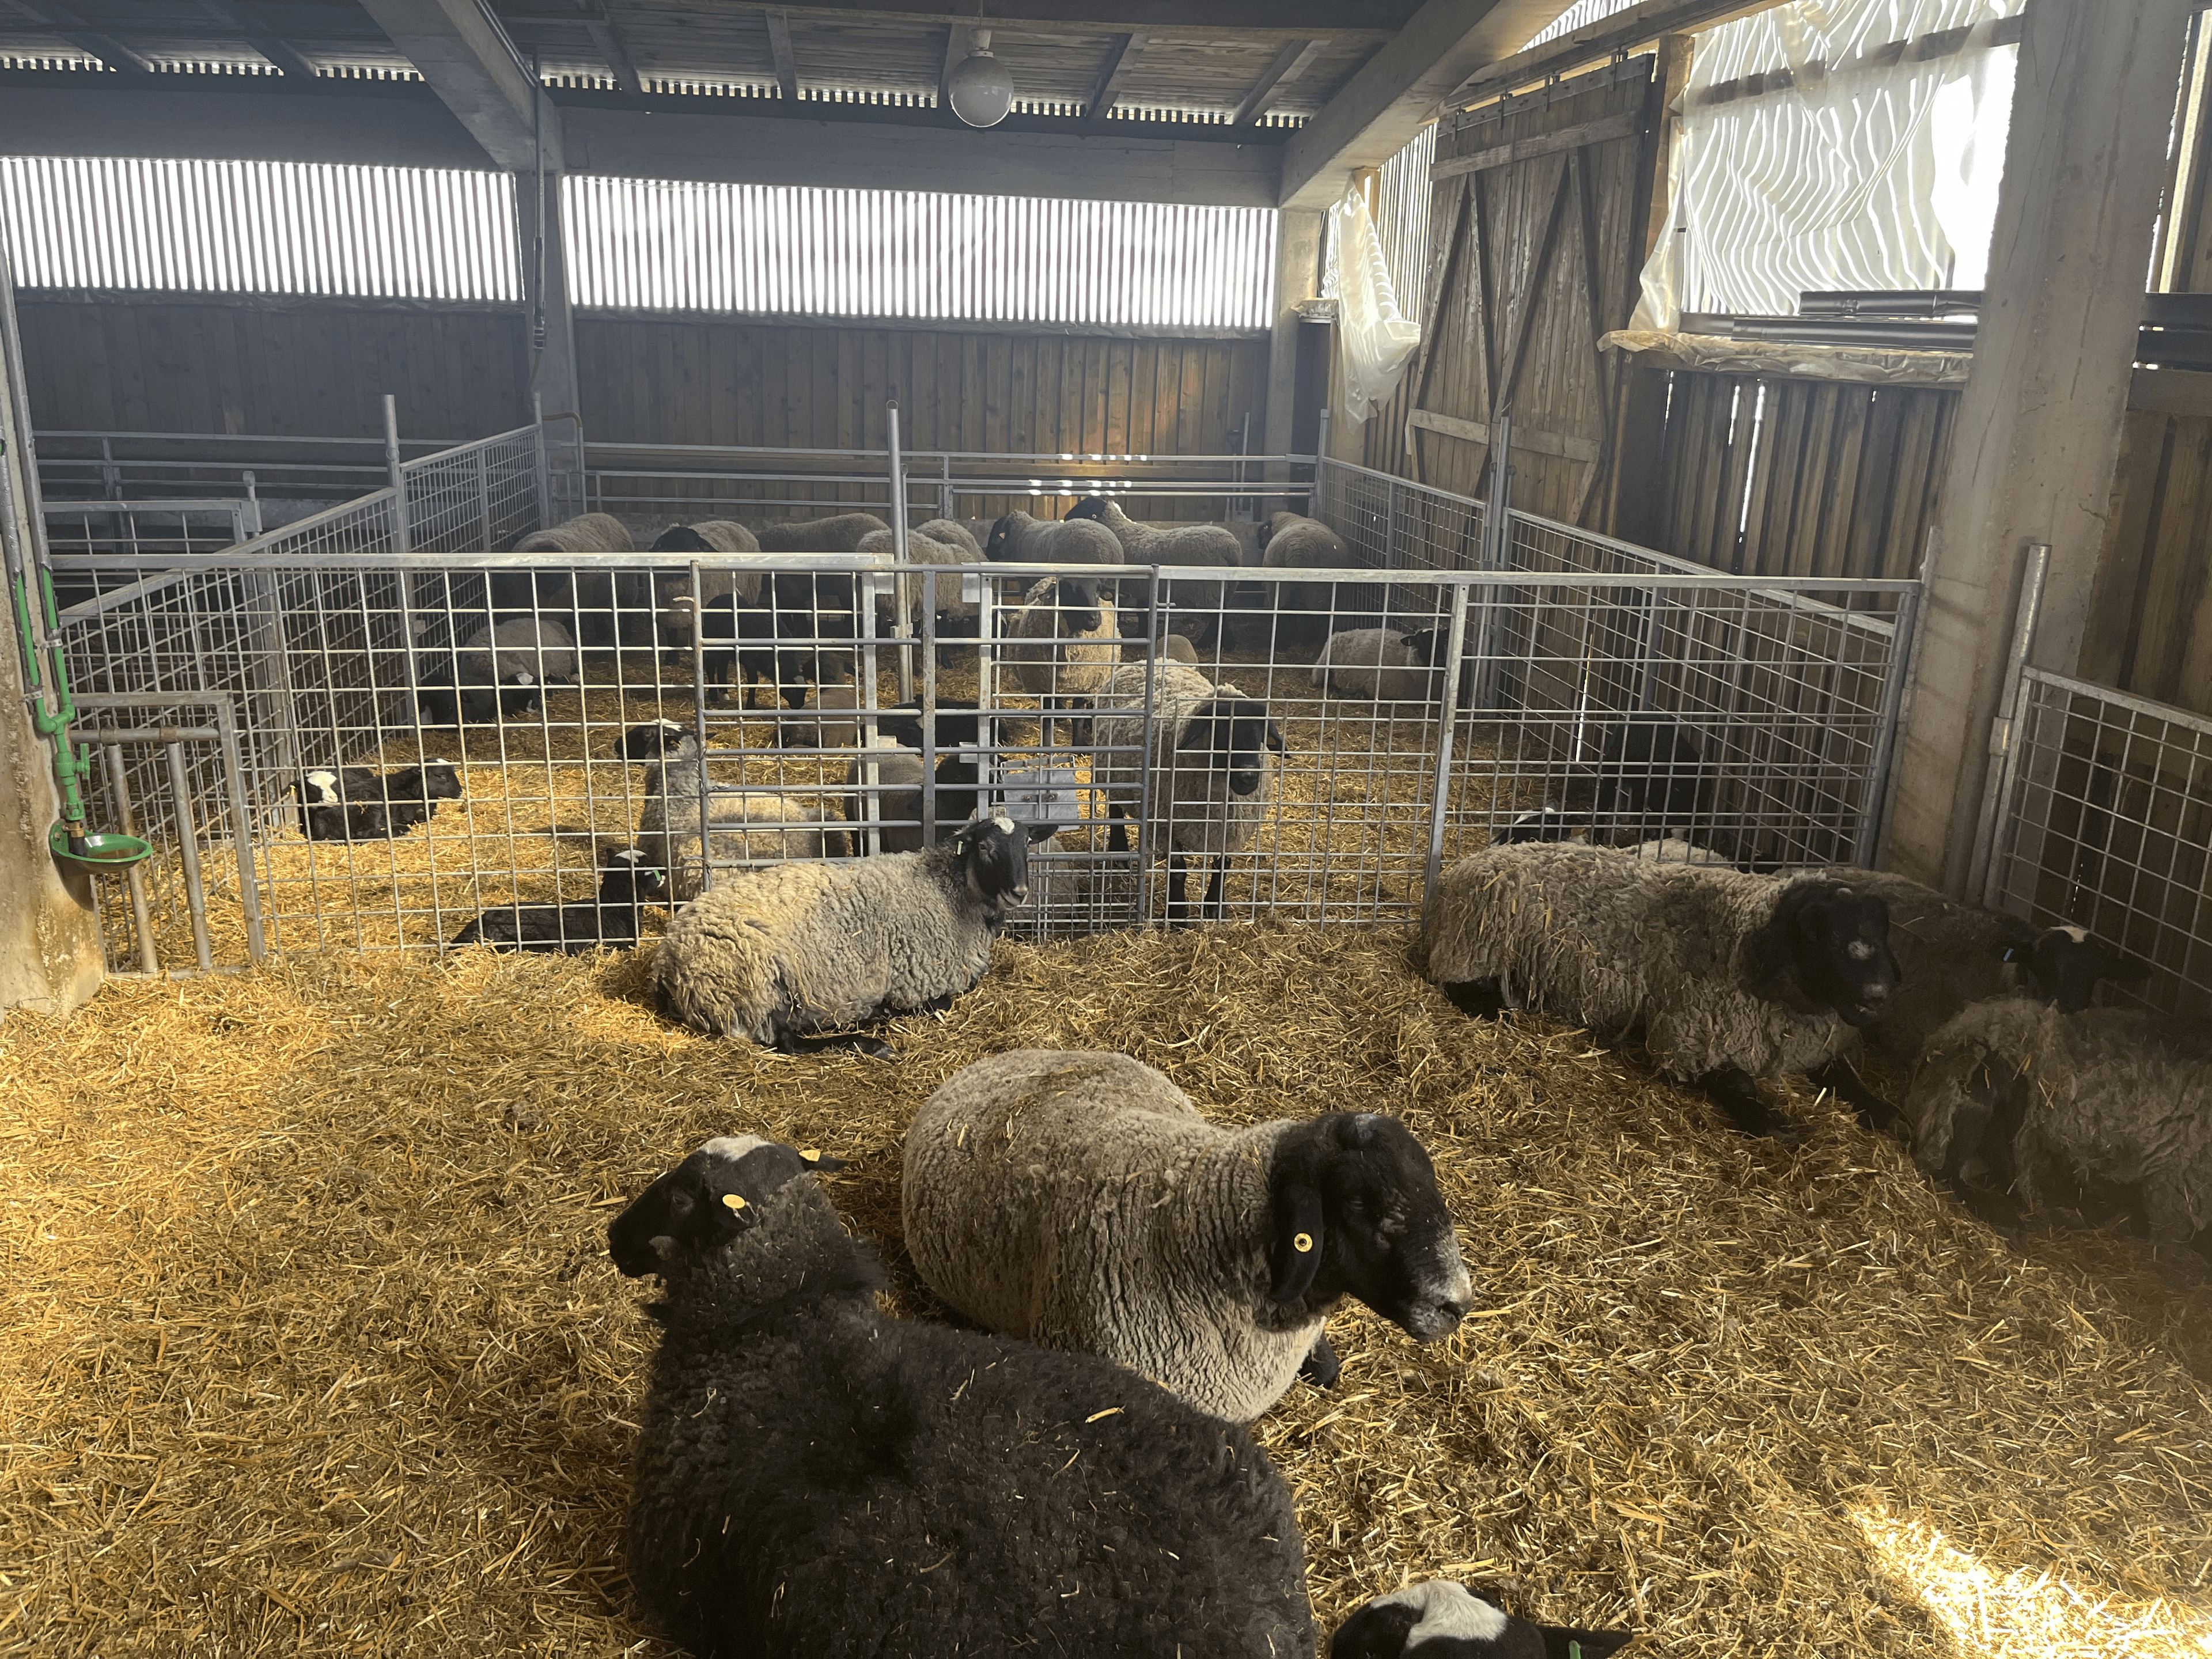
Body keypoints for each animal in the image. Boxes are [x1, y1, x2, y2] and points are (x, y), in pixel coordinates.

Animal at [649, 815, 1053, 1055]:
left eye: (1027, 844)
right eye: (984, 847)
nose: (1019, 892)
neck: (948, 891)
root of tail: (668, 957)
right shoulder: (919, 981)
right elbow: (942, 1003)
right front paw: (886, 1012)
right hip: (759, 985)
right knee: (787, 1041)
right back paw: (869, 1036)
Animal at [1090, 659, 1283, 926]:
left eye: (1260, 733)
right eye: (1220, 729)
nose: (1248, 776)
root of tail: (1150, 661)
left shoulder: (1229, 829)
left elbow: (1223, 865)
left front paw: (1216, 908)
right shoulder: (1165, 823)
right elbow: (1179, 872)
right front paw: (1178, 917)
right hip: (1111, 771)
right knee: (1116, 810)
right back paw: (1120, 852)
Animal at [1423, 842, 1900, 1139]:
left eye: (1880, 932)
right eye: (1823, 935)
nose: (1877, 996)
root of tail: (1464, 867)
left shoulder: (1817, 1048)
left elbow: (1848, 1078)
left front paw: (1886, 1113)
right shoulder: (1685, 1038)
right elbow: (1737, 1082)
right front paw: (1768, 1121)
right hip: (1475, 949)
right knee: (1463, 989)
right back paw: (1507, 1003)